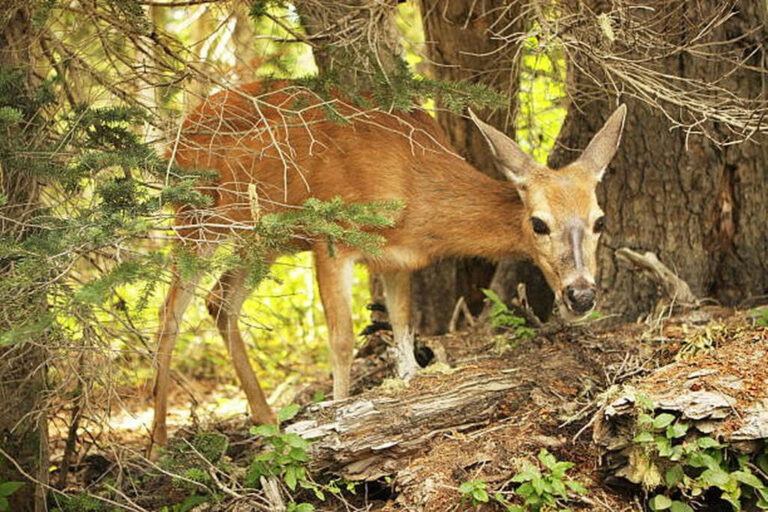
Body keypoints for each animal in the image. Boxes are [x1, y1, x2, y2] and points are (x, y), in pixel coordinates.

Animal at [151, 80, 626, 450]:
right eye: (538, 223)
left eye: (600, 220)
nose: (581, 294)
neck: (414, 191)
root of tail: (178, 137)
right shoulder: (333, 238)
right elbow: (342, 341)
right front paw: (335, 420)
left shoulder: (398, 260)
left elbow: (403, 331)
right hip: (200, 218)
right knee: (170, 312)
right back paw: (159, 446)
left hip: (265, 239)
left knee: (219, 302)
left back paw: (267, 422)